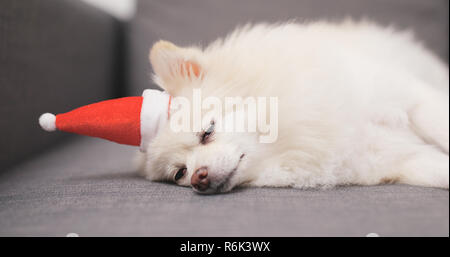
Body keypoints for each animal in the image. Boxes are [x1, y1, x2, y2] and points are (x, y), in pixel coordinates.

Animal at [136, 20, 446, 192]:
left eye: (207, 132)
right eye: (180, 173)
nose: (198, 179)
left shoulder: (410, 97)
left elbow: (438, 124)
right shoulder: (400, 160)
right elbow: (439, 167)